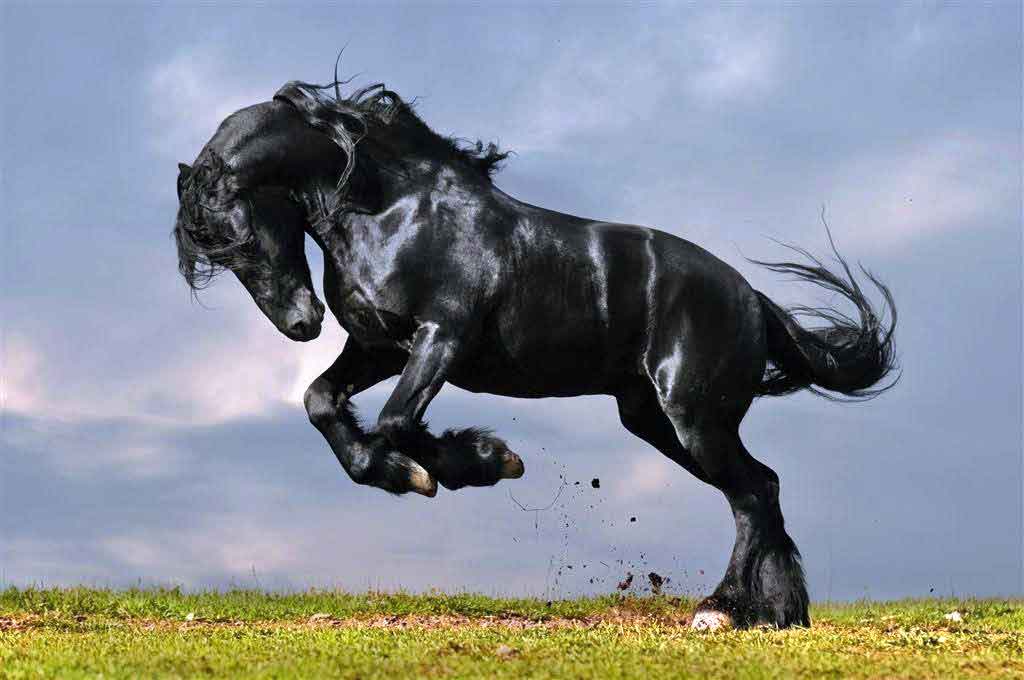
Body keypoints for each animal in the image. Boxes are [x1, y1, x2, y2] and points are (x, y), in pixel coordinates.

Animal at [173, 71, 896, 630]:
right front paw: (405, 472)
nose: (300, 324)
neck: (393, 210)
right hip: (655, 420)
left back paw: (721, 610)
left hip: (694, 418)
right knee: (761, 488)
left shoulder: (441, 337)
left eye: (241, 235)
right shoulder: (379, 345)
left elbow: (397, 420)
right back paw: (776, 612)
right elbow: (323, 402)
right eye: (217, 254)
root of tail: (753, 300)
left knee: (752, 493)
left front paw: (480, 462)